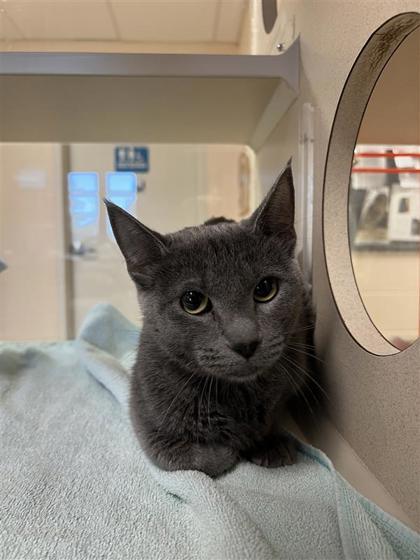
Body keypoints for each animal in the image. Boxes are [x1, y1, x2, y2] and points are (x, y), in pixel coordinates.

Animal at [105, 161, 316, 476]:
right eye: (193, 301)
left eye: (265, 289)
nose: (245, 342)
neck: (236, 394)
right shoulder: (147, 419)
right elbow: (206, 458)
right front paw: (234, 447)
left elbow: (272, 417)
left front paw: (270, 444)